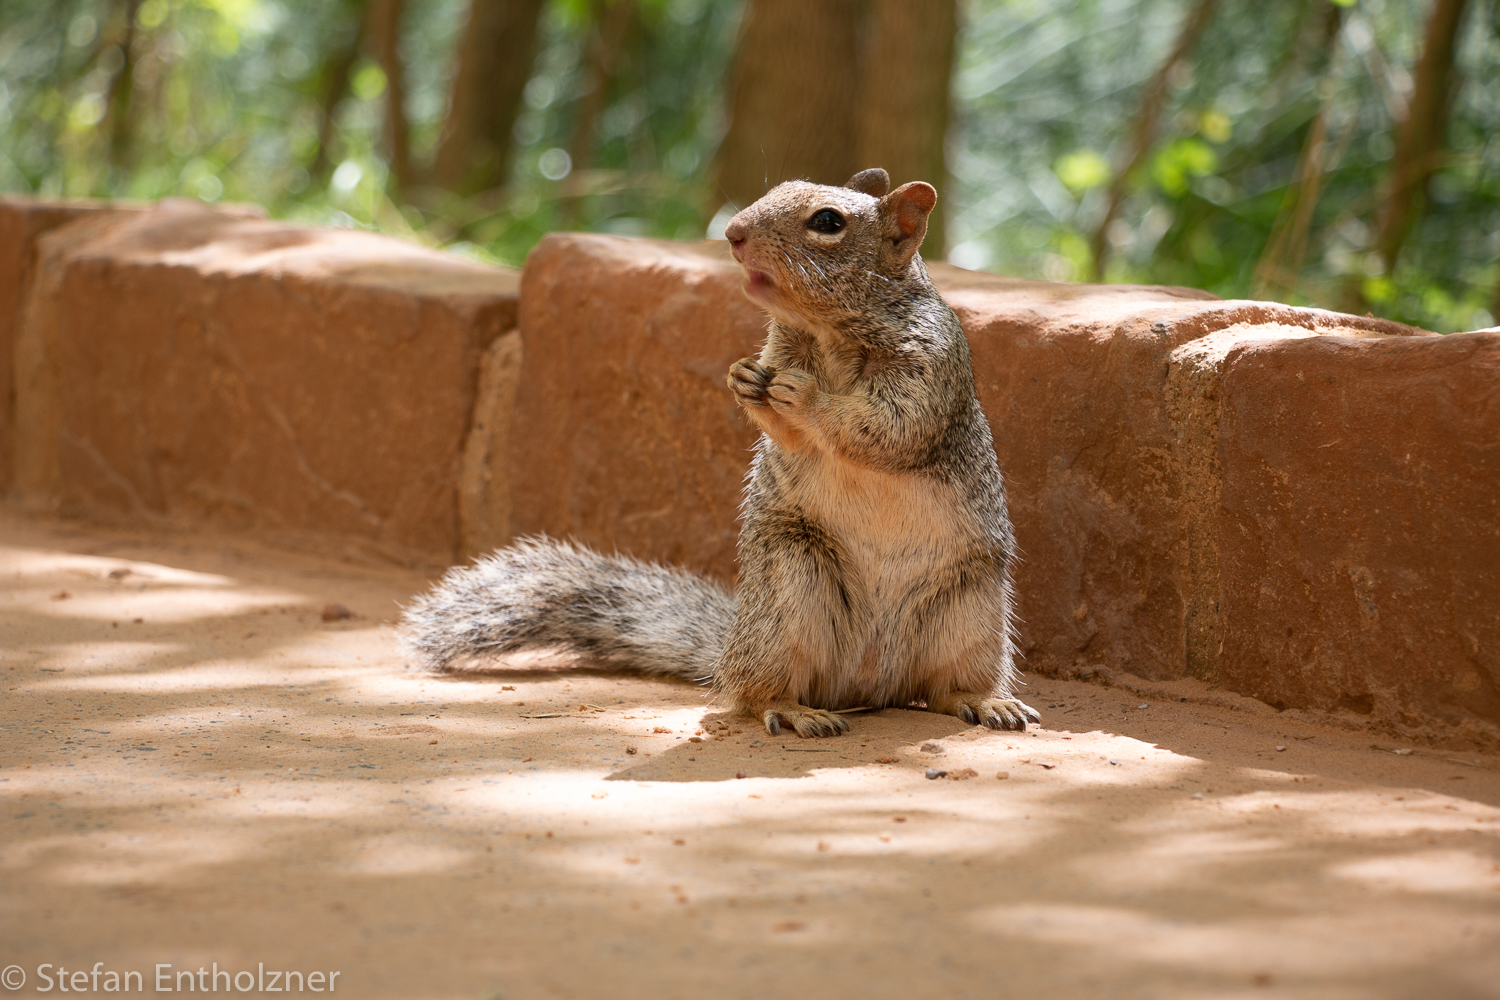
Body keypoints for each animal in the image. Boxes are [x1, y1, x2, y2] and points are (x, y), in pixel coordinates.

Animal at [402, 167, 1044, 740]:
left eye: (828, 222)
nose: (733, 233)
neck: (829, 336)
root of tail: (869, 682)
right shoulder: (781, 350)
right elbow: (788, 432)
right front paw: (743, 381)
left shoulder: (928, 369)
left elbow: (888, 425)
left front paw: (806, 397)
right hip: (791, 585)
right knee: (757, 691)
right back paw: (796, 710)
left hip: (972, 608)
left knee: (941, 689)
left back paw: (987, 701)